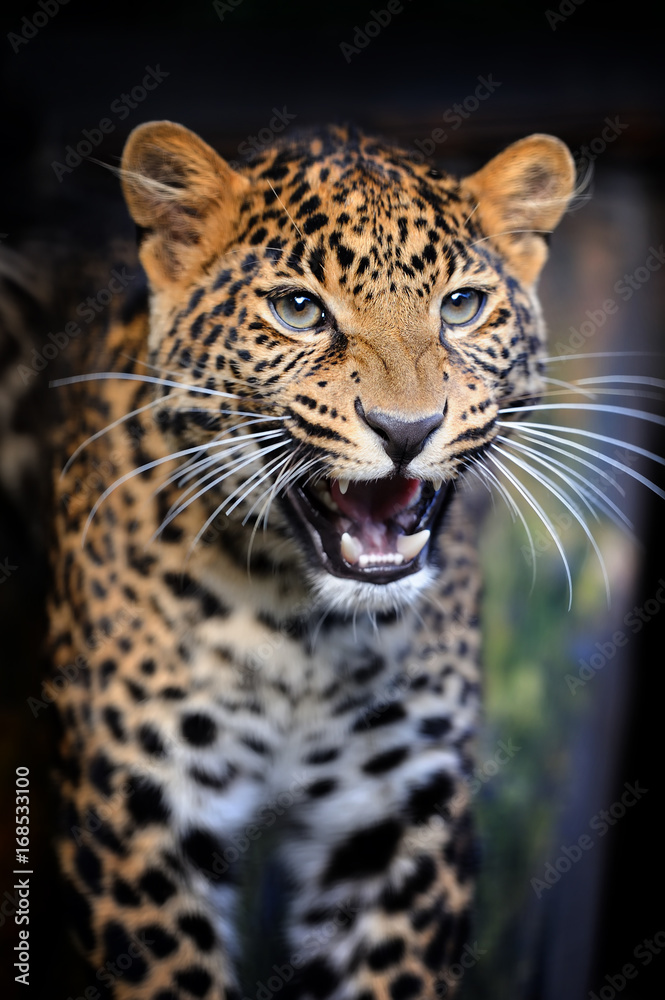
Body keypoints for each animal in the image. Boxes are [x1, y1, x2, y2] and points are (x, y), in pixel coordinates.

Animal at [46, 121, 576, 1000]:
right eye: (298, 310)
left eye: (460, 306)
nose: (405, 429)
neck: (302, 629)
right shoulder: (139, 805)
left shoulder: (400, 806)